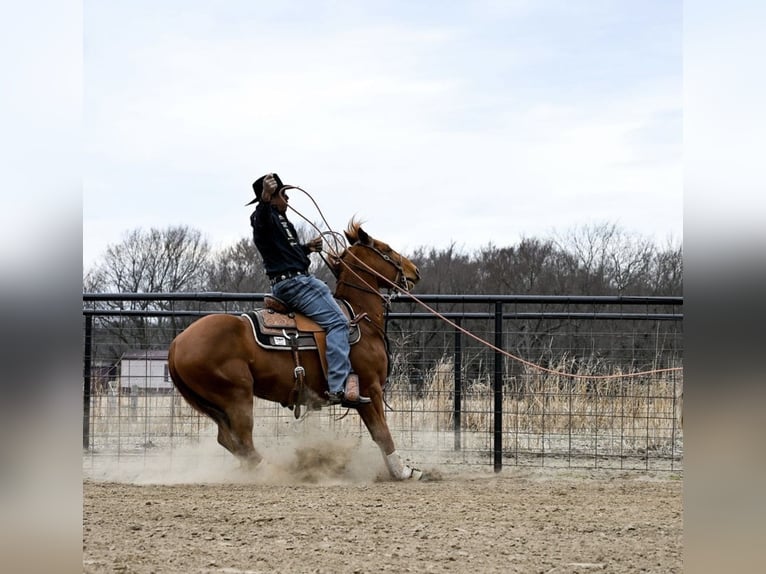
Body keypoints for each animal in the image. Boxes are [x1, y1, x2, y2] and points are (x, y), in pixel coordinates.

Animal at [167, 220, 423, 480]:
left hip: (216, 405)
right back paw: (273, 471)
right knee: (243, 440)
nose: (414, 270)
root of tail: (176, 344)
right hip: (237, 396)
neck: (360, 319)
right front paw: (403, 472)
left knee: (229, 441)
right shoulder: (369, 389)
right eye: (386, 248)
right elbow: (381, 433)